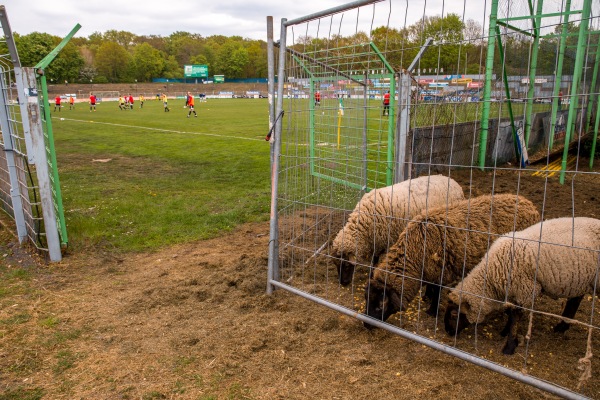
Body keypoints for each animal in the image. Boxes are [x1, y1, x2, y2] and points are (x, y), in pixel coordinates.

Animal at [330, 173, 462, 286]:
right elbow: (374, 258)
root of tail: (453, 182)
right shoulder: (377, 239)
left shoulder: (387, 238)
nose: (343, 283)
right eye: (336, 265)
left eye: (346, 265)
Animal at [364, 192, 540, 326]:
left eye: (381, 305)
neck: (415, 251)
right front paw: (426, 297)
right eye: (366, 299)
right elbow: (431, 286)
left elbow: (436, 290)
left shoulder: (440, 270)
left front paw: (432, 311)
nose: (366, 325)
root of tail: (530, 205)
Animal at [442, 217, 600, 354]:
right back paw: (562, 326)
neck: (493, 273)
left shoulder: (525, 289)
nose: (448, 332)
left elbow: (515, 316)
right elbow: (511, 312)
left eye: (454, 314)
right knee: (575, 299)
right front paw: (505, 331)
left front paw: (510, 346)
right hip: (580, 279)